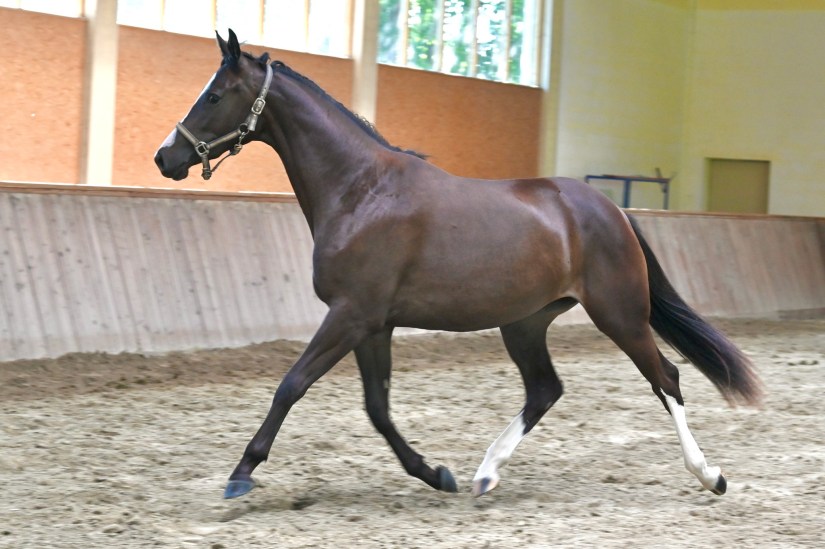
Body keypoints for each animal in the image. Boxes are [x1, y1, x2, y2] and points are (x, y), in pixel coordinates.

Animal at [154, 30, 762, 500]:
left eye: (214, 95)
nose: (166, 157)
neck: (360, 191)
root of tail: (611, 209)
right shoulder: (373, 324)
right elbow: (377, 408)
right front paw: (435, 473)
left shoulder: (350, 316)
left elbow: (291, 385)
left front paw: (241, 473)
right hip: (526, 322)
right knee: (545, 389)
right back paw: (485, 474)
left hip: (620, 314)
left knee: (667, 379)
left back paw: (710, 476)